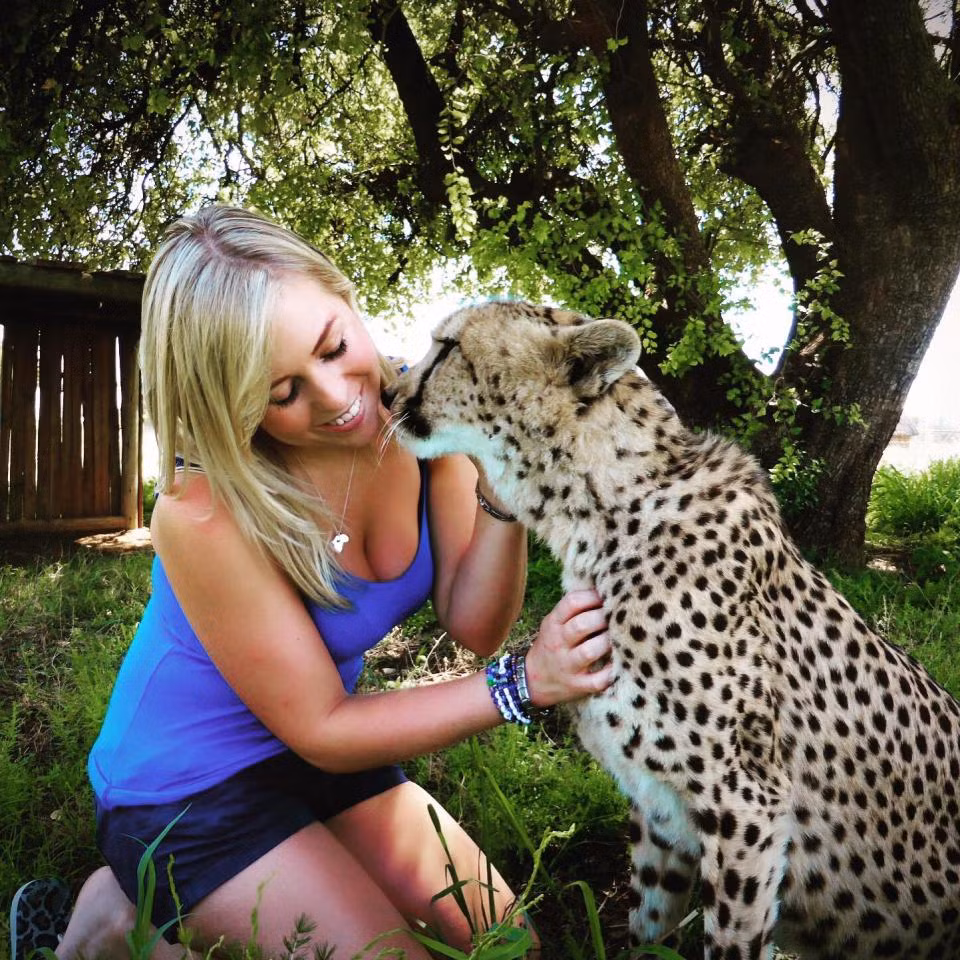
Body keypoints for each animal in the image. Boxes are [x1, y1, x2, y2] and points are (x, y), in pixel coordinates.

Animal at [387, 300, 960, 960]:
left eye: (447, 347)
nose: (387, 392)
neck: (601, 510)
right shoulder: (661, 811)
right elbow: (647, 929)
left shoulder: (748, 805)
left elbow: (732, 938)